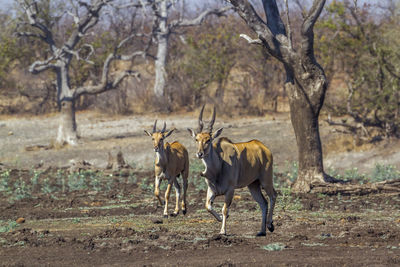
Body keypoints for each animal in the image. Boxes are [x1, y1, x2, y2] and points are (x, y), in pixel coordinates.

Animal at [188, 105, 276, 236]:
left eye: (208, 140)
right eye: (196, 139)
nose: (200, 153)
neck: (218, 166)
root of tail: (264, 148)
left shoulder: (230, 190)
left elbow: (224, 209)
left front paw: (223, 231)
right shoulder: (212, 190)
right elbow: (208, 206)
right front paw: (221, 219)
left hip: (266, 181)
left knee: (273, 196)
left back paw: (270, 225)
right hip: (253, 185)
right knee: (263, 203)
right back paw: (261, 231)